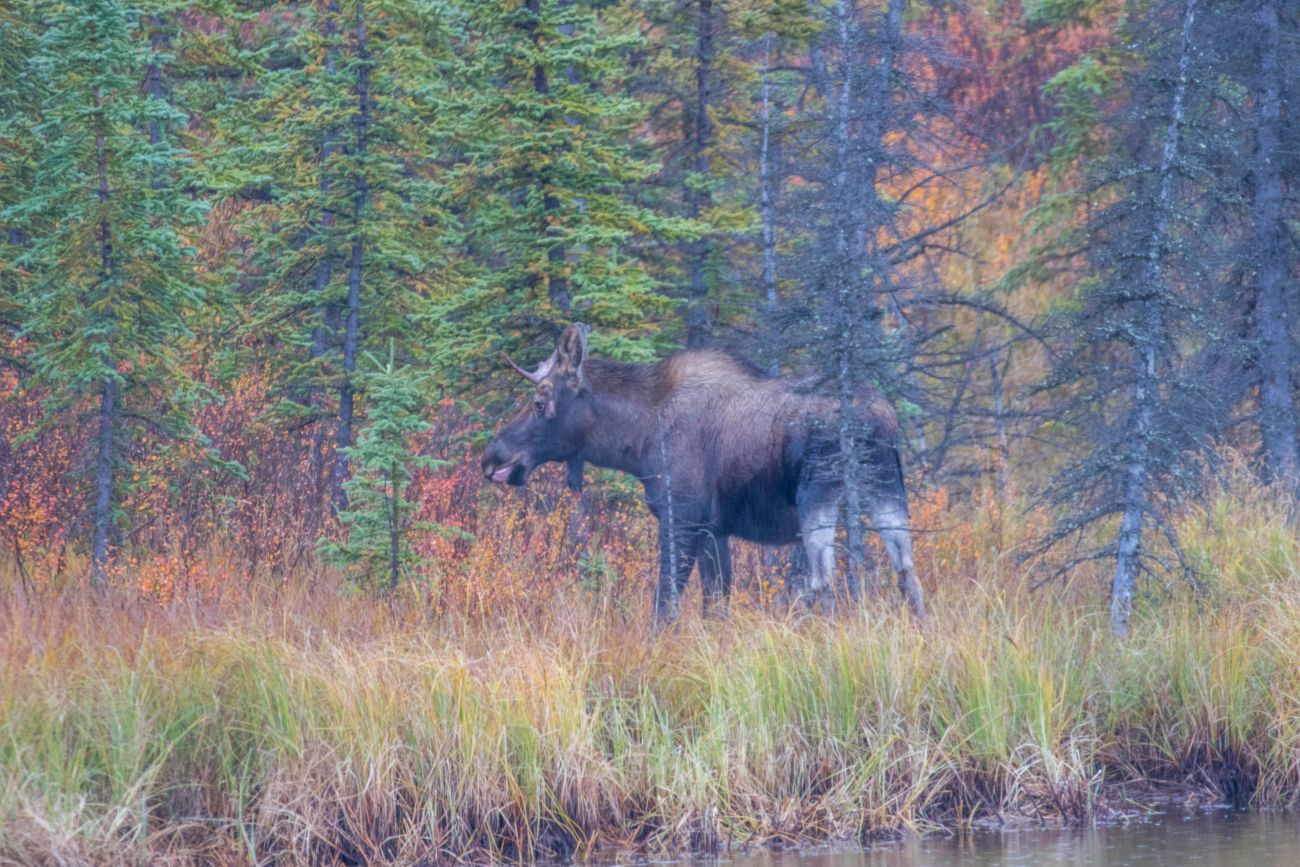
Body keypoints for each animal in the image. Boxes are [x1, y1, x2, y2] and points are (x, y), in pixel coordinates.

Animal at [480, 323, 925, 623]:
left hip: (818, 497)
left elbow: (665, 604)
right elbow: (716, 604)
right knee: (908, 573)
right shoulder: (715, 528)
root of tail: (877, 419)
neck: (637, 440)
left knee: (824, 580)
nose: (492, 457)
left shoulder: (680, 517)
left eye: (540, 403)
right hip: (887, 487)